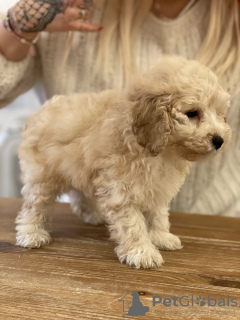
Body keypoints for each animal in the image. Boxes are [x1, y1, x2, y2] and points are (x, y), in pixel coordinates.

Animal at [15, 57, 232, 268]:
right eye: (192, 113)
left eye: (219, 114)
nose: (219, 140)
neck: (162, 151)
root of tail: (40, 112)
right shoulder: (120, 188)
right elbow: (132, 223)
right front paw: (142, 252)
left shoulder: (157, 186)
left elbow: (158, 215)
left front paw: (161, 237)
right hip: (41, 176)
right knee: (34, 205)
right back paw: (31, 233)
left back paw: (92, 214)